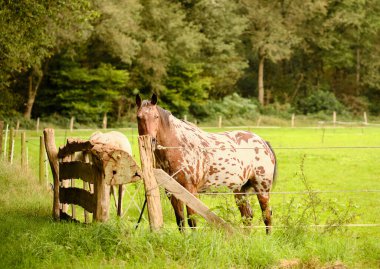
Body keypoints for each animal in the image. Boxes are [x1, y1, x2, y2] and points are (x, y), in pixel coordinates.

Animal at [136, 94, 276, 232]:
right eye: (139, 117)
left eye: (156, 116)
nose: (151, 141)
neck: (179, 147)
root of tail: (263, 142)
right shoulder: (171, 191)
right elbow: (180, 221)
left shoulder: (190, 190)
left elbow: (192, 220)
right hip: (240, 190)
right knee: (247, 216)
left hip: (262, 188)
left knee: (266, 215)